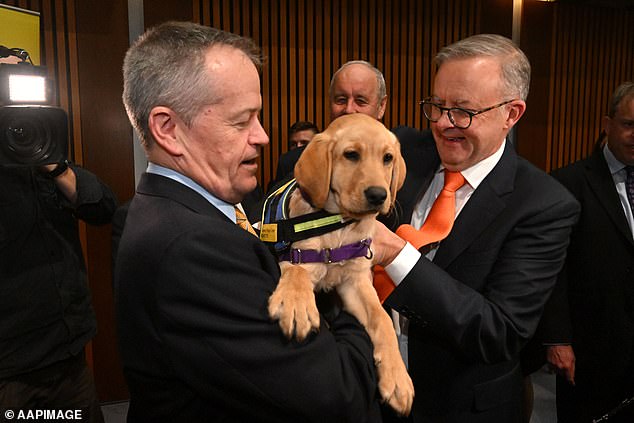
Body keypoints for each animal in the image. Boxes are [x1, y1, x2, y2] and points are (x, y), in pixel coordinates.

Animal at [264, 113, 412, 418]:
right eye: (351, 155)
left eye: (388, 158)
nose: (379, 195)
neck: (337, 225)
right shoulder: (298, 256)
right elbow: (296, 273)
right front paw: (296, 305)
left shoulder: (356, 282)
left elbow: (381, 318)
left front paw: (398, 378)